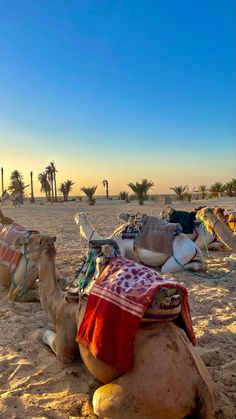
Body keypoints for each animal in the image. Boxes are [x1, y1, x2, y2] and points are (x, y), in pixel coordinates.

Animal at [18, 233, 216, 419]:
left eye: (29, 242)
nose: (19, 241)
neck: (59, 301)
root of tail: (201, 389)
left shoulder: (66, 325)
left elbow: (54, 343)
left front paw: (41, 333)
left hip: (141, 397)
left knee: (99, 400)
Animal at [74, 212, 205, 274]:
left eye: (78, 216)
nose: (74, 217)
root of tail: (194, 246)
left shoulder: (121, 250)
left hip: (181, 255)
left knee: (167, 268)